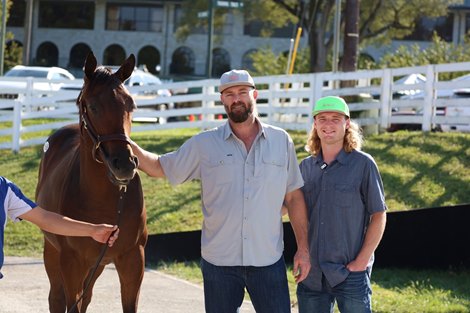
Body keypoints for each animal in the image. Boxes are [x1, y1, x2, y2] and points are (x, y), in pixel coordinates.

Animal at [36, 52, 147, 310]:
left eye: (131, 105)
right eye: (94, 106)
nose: (125, 164)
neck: (105, 199)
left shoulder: (132, 259)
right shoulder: (72, 261)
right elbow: (72, 304)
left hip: (97, 265)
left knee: (86, 298)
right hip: (53, 252)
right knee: (56, 298)